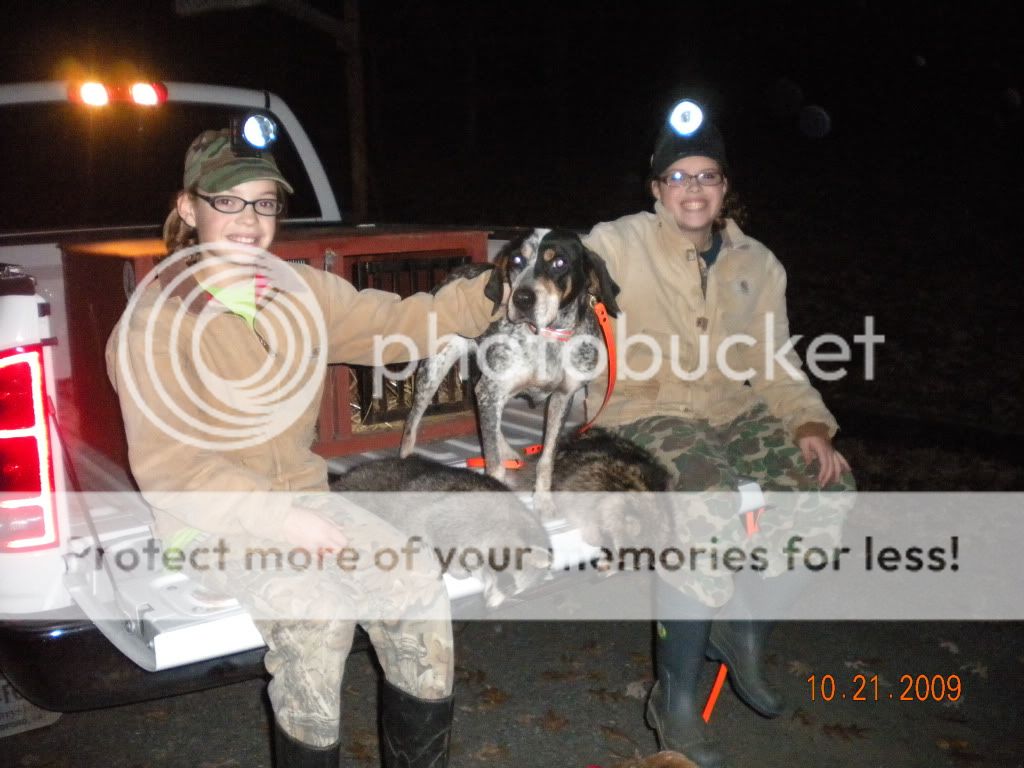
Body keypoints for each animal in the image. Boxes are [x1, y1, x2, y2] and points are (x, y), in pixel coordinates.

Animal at [330, 456, 551, 608]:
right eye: (508, 582)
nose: (490, 605)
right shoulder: (455, 516)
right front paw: (455, 566)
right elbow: (436, 530)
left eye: (514, 591)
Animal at [400, 228, 621, 518]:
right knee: (412, 425)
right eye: (516, 260)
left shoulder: (562, 397)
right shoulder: (492, 391)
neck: (545, 340)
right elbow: (493, 465)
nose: (522, 298)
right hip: (433, 373)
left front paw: (543, 501)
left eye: (559, 262)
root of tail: (456, 271)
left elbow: (546, 458)